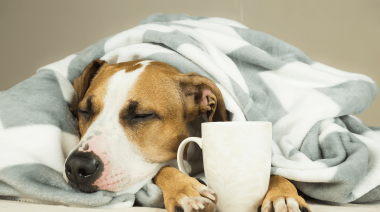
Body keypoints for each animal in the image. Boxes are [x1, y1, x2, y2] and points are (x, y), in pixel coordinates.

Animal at [63, 59, 310, 212]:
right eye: (84, 111)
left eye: (142, 115)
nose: (77, 166)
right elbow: (164, 169)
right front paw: (184, 189)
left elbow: (274, 172)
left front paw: (283, 194)